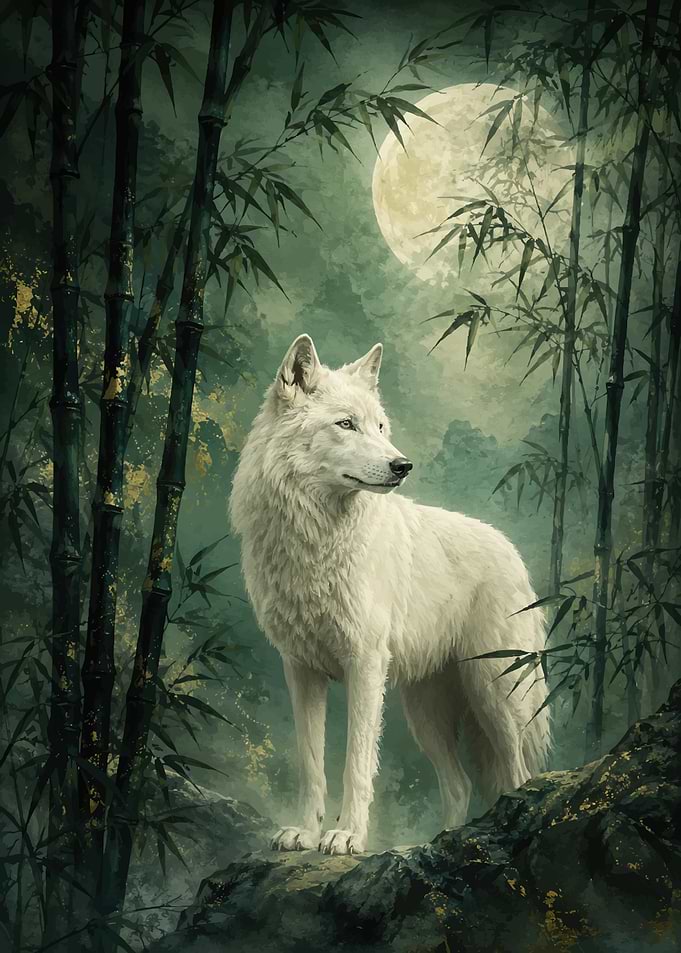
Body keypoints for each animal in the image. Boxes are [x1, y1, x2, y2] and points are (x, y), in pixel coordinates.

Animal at [230, 334, 550, 856]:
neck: (317, 540)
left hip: (495, 694)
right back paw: (440, 841)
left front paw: (346, 836)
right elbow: (311, 763)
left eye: (380, 427)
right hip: (425, 713)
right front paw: (304, 832)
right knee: (460, 784)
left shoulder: (363, 665)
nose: (403, 465)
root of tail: (512, 551)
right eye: (346, 424)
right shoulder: (300, 670)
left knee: (516, 773)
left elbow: (357, 763)